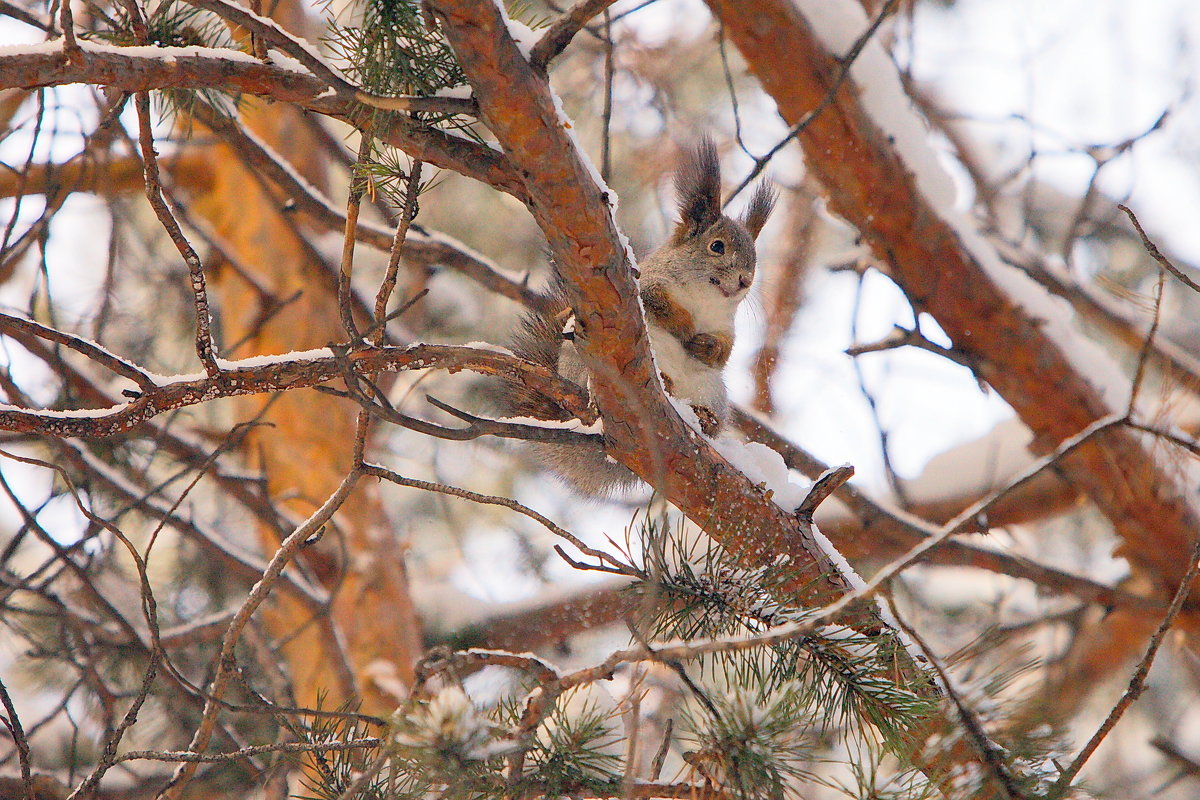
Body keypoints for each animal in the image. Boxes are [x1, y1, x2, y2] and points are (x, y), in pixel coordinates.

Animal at [499, 140, 772, 496]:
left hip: (711, 389)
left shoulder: (726, 327)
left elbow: (723, 351)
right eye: (717, 246)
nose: (745, 280)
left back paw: (704, 417)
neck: (705, 301)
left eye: (754, 258)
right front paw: (684, 326)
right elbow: (661, 306)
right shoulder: (647, 287)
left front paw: (703, 345)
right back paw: (665, 381)